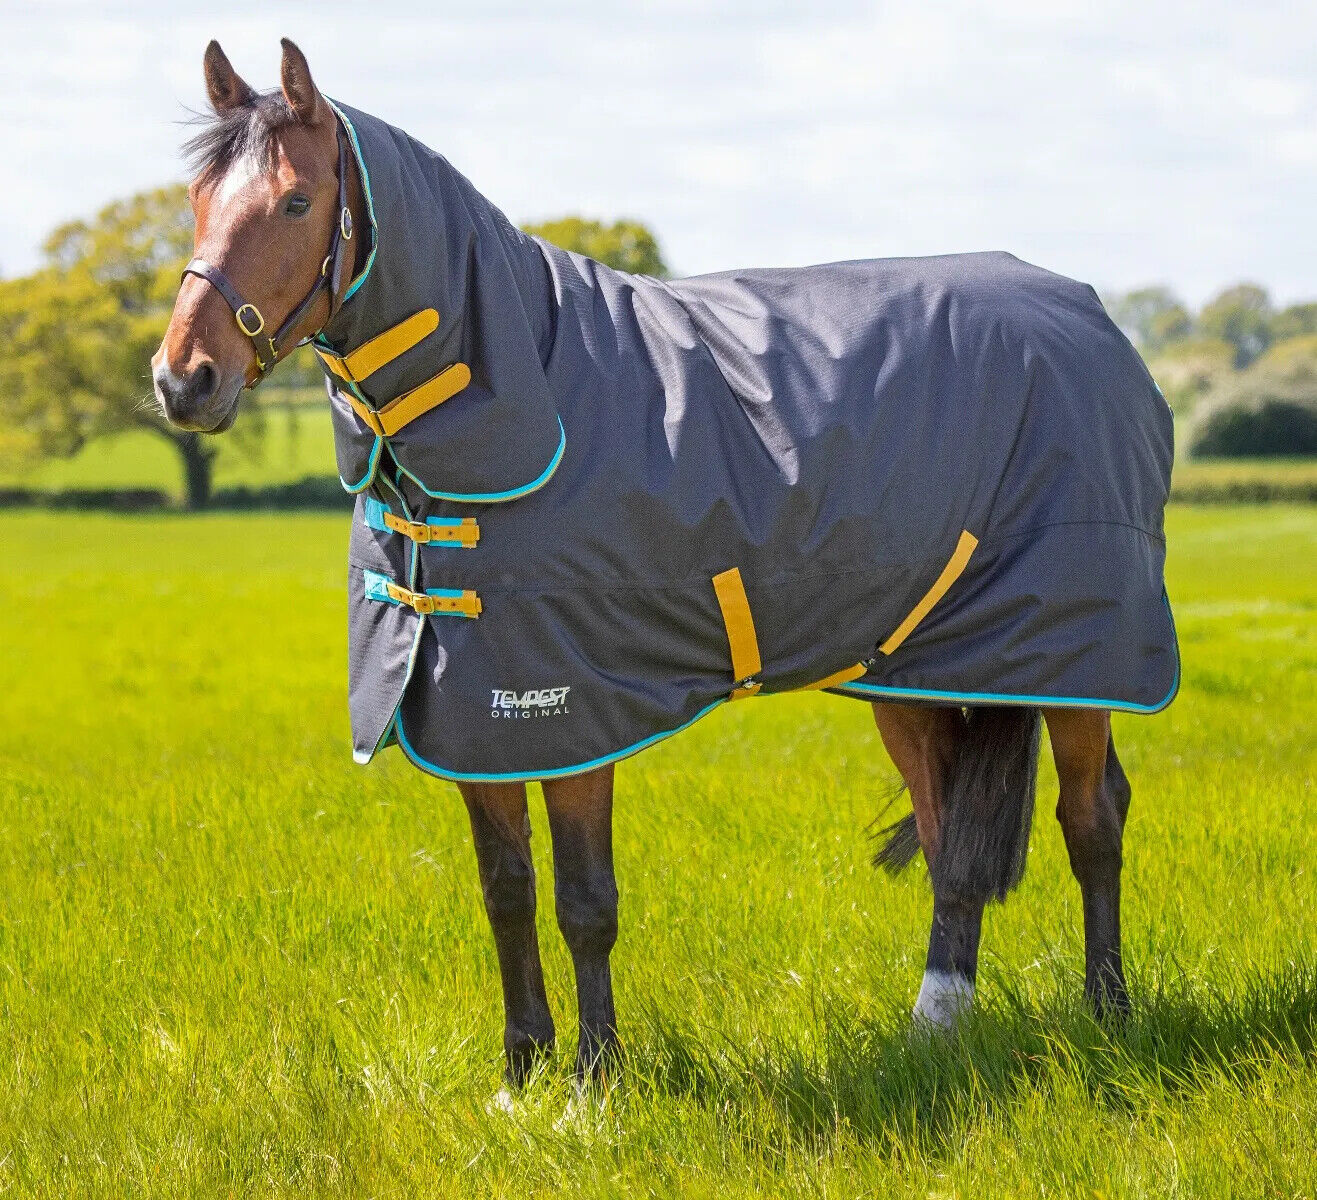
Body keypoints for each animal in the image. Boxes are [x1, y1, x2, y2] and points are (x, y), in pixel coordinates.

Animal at [153, 39, 1175, 1084]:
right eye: (196, 198)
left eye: (294, 202)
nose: (182, 380)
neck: (526, 396)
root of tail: (1090, 318)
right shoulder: (473, 716)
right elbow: (506, 890)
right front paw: (521, 1071)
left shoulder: (568, 709)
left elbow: (584, 902)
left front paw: (593, 1077)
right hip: (918, 668)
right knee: (947, 835)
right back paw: (937, 1021)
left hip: (1077, 658)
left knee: (1093, 819)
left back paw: (1107, 1011)